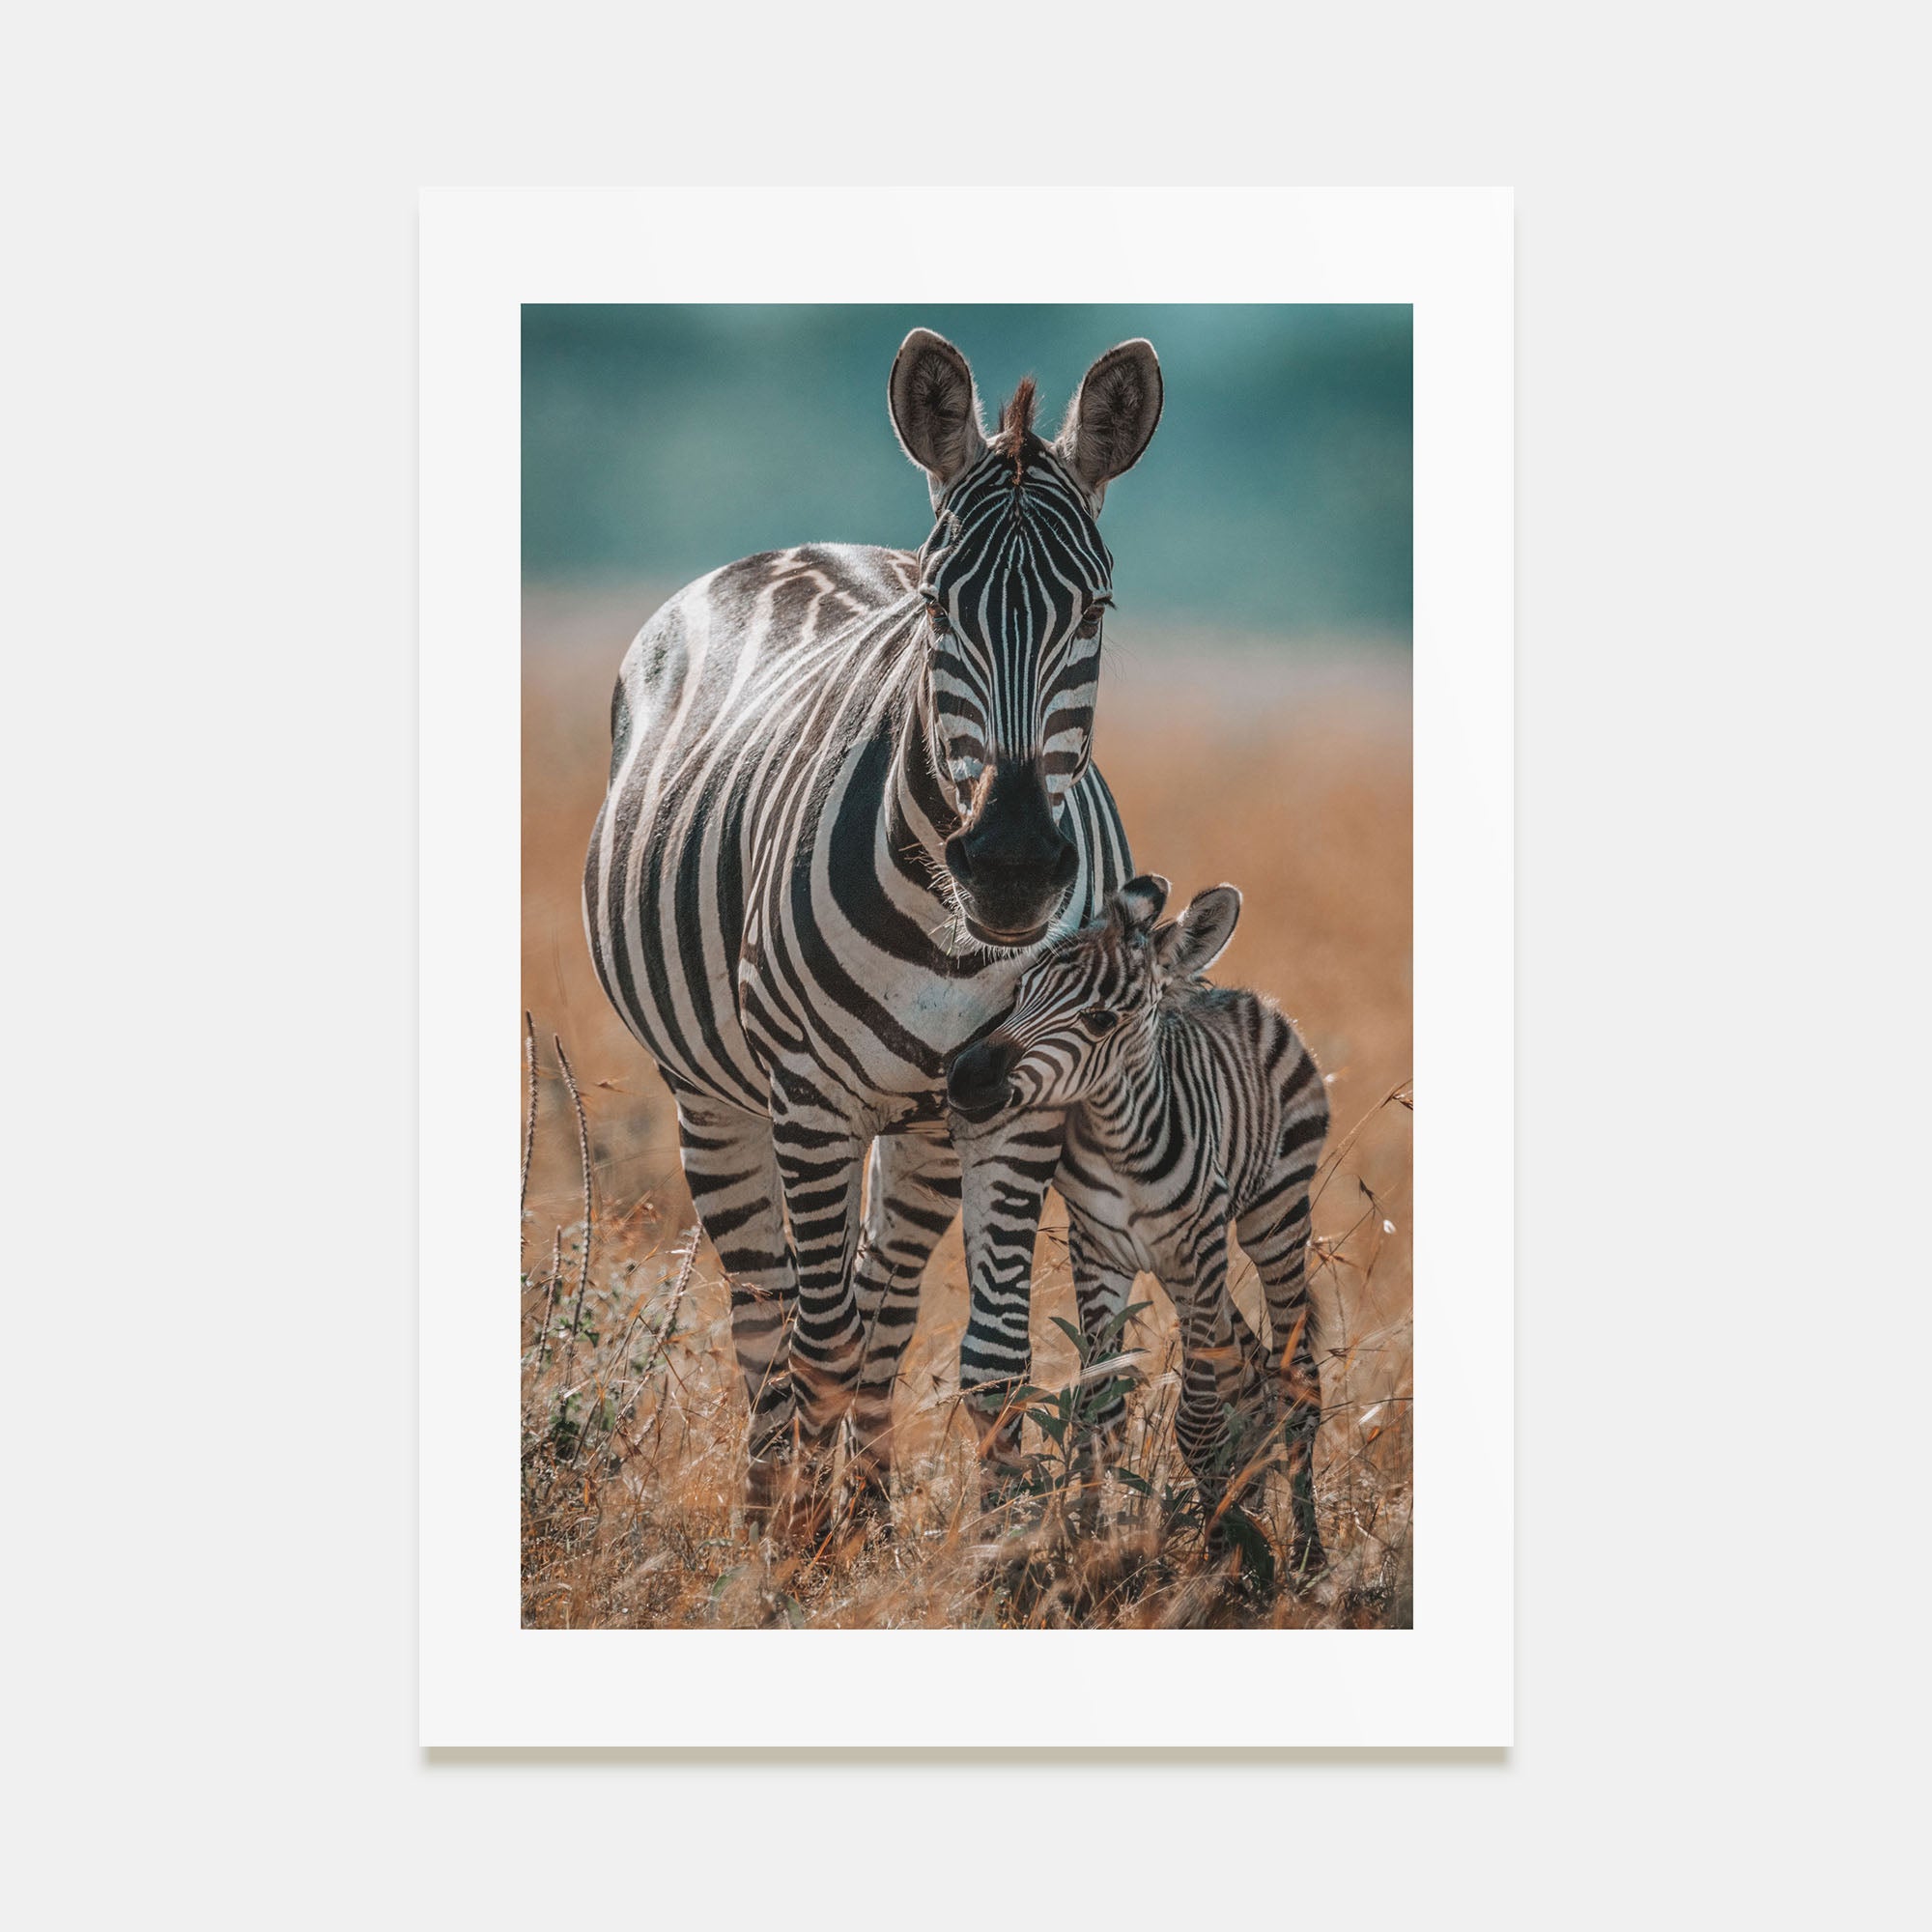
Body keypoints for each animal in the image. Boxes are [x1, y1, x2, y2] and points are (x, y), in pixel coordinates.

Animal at [583, 328, 1165, 1525]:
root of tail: (806, 546)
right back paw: (772, 1514)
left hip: (924, 1122)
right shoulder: (807, 1095)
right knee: (772, 1318)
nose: (1011, 866)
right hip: (716, 1095)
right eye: (940, 609)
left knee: (882, 1305)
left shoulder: (1016, 1102)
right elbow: (817, 1343)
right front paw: (806, 1547)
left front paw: (1001, 1547)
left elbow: (989, 1359)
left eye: (1093, 611)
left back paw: (869, 1510)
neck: (956, 938)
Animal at [945, 875, 1330, 1573]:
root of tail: (1241, 994)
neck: (1121, 1138)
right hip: (1186, 1265)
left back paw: (1308, 1556)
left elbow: (1199, 1421)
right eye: (1021, 989)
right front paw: (1091, 1546)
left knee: (1297, 1379)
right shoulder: (1097, 1250)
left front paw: (1216, 1563)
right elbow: (1097, 1413)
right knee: (1252, 1371)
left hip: (1275, 1217)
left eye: (1100, 1019)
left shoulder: (1201, 1247)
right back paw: (1251, 1508)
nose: (964, 1078)